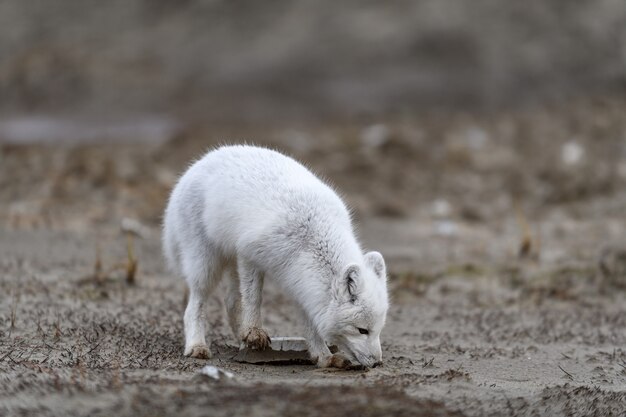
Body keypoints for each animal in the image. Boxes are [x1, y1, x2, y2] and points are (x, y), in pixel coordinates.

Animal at [161, 145, 386, 366]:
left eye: (378, 329)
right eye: (362, 330)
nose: (377, 363)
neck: (310, 237)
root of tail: (197, 164)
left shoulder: (301, 283)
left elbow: (309, 322)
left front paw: (323, 356)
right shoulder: (250, 254)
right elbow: (253, 298)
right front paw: (254, 332)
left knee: (231, 302)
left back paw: (240, 339)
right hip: (205, 265)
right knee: (194, 307)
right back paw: (197, 346)